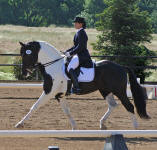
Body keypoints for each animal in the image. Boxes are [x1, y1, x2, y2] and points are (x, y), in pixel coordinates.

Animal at [15, 40, 150, 129]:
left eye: (26, 54)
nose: (24, 73)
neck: (53, 66)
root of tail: (121, 67)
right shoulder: (59, 95)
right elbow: (67, 111)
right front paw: (74, 127)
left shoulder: (49, 92)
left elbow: (35, 106)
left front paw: (20, 123)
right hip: (105, 90)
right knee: (113, 105)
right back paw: (102, 124)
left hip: (119, 91)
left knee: (129, 106)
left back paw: (135, 129)